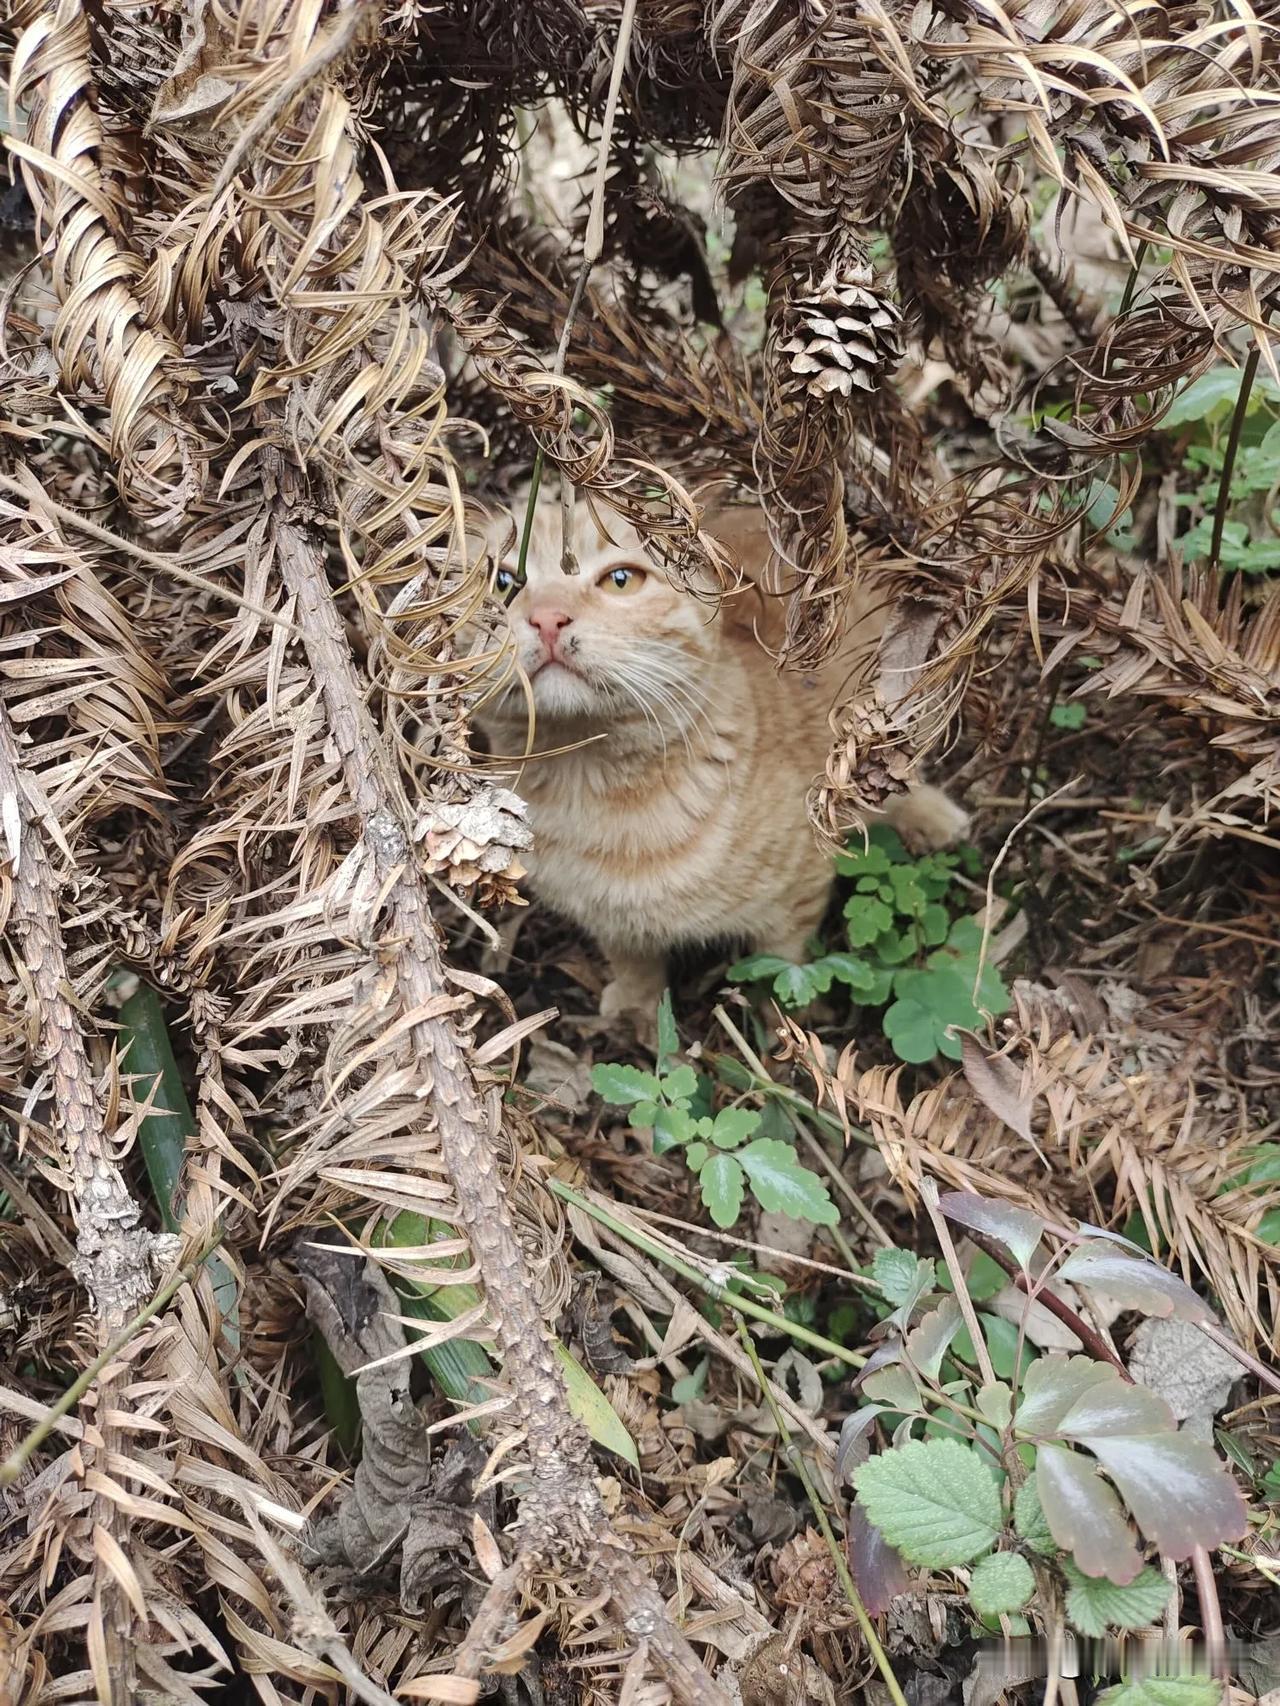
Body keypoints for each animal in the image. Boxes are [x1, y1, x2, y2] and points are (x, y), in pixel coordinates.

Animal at [477, 494, 969, 1023]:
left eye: (621, 579)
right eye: (501, 583)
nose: (548, 618)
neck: (594, 790)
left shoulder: (795, 902)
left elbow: (783, 975)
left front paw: (788, 1026)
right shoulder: (611, 923)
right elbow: (633, 963)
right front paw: (638, 1010)